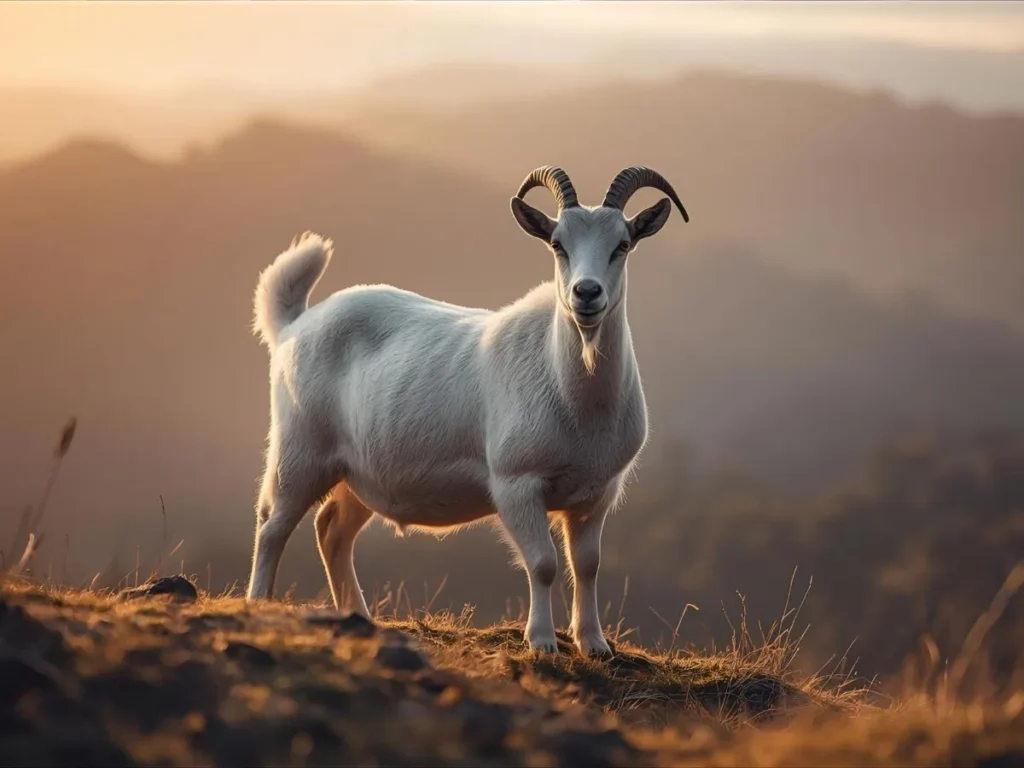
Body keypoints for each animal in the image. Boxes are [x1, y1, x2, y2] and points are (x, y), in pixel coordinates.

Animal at [246, 166, 689, 656]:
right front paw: (541, 642)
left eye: (623, 244)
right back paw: (258, 605)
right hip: (299, 449)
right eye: (558, 244)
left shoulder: (597, 493)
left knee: (332, 529)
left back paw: (358, 615)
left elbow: (587, 565)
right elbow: (543, 562)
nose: (586, 294)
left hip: (358, 470)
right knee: (271, 525)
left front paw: (593, 643)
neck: (573, 394)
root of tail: (293, 325)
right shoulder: (516, 483)